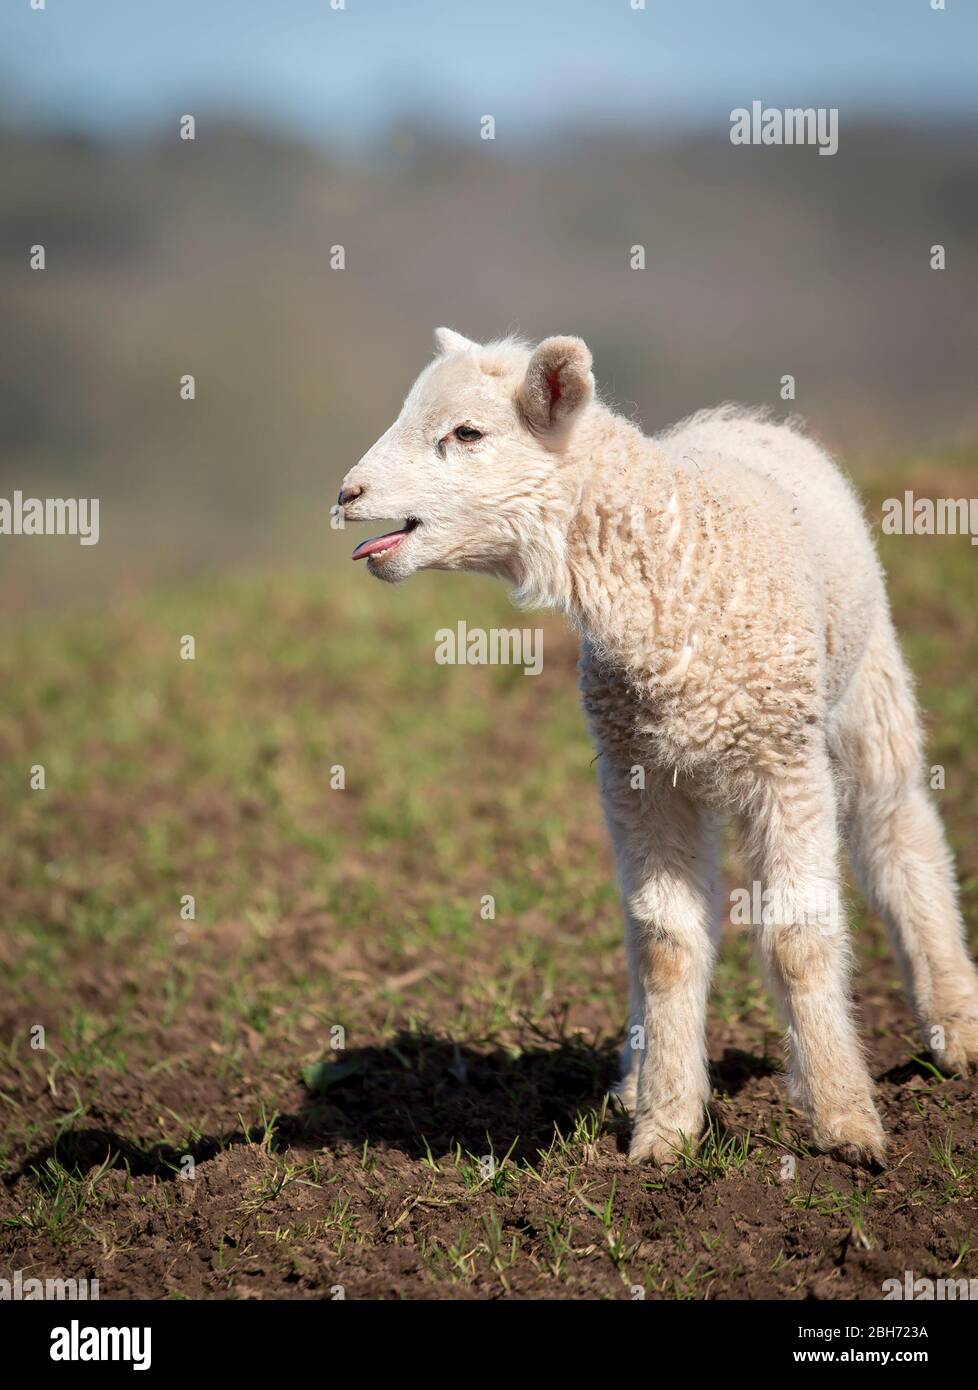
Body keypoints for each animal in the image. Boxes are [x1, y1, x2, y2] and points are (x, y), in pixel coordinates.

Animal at [336, 325, 978, 1162]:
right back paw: (641, 1080)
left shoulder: (786, 763)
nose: (346, 495)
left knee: (899, 832)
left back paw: (954, 1027)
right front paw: (667, 1129)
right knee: (653, 928)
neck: (673, 576)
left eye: (467, 433)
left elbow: (799, 940)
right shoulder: (642, 776)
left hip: (864, 688)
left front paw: (847, 1123)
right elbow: (668, 944)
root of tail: (741, 416)